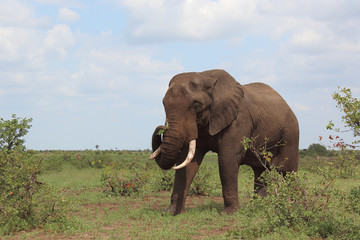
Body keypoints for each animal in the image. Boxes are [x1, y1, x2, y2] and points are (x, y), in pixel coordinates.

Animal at [149, 69, 298, 216]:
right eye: (164, 104)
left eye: (197, 105)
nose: (161, 128)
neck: (206, 77)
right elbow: (186, 162)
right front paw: (171, 212)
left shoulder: (239, 119)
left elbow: (227, 159)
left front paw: (229, 213)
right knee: (260, 172)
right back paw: (258, 208)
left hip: (290, 134)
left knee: (287, 171)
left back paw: (295, 207)